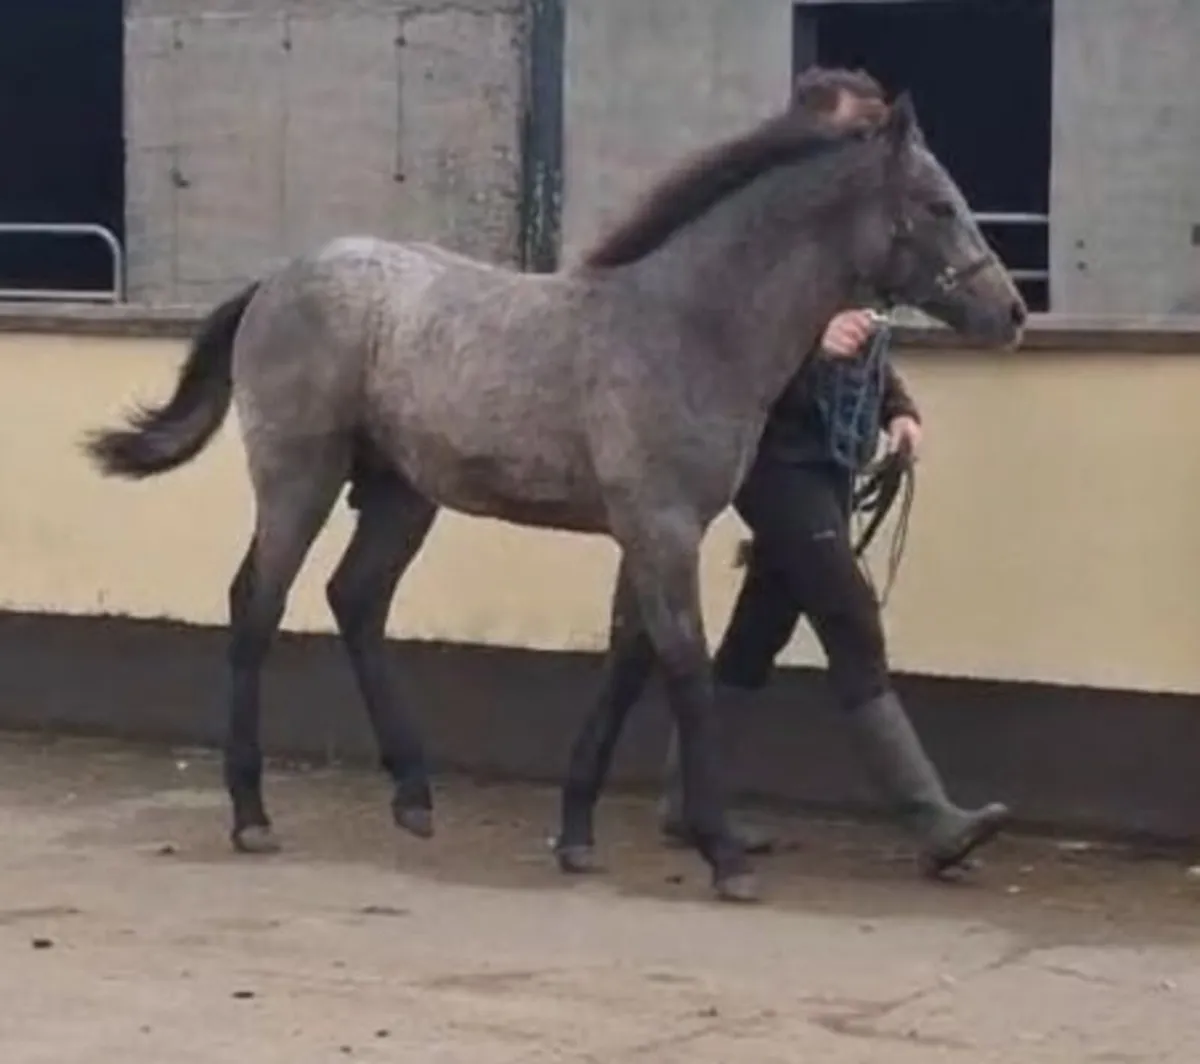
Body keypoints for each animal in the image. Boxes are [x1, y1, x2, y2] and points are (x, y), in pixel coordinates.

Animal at [83, 90, 1025, 904]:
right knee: (257, 603)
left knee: (355, 597)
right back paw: (251, 814)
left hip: (400, 493)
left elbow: (628, 663)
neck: (689, 328)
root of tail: (273, 282)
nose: (1011, 312)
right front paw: (723, 854)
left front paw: (577, 837)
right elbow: (685, 667)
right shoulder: (661, 525)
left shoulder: (647, 532)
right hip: (298, 477)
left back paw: (414, 796)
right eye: (937, 203)